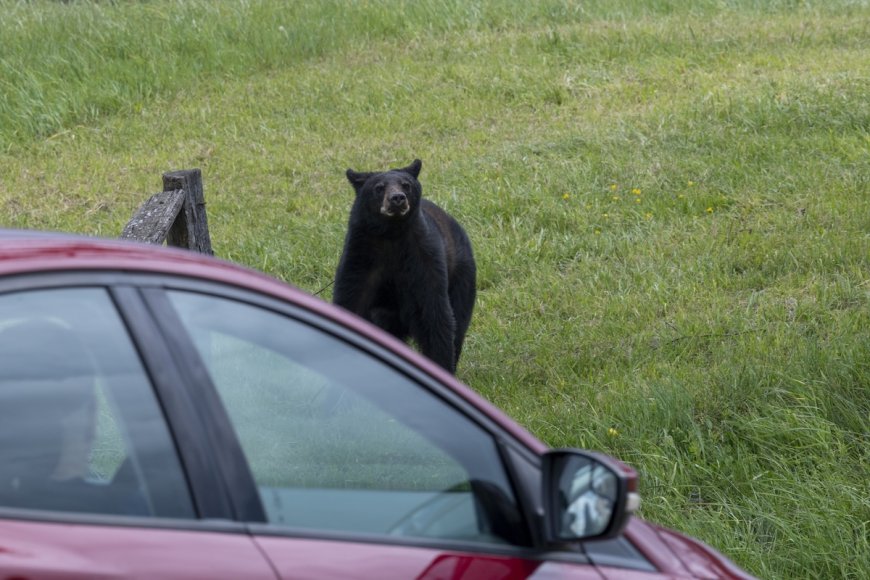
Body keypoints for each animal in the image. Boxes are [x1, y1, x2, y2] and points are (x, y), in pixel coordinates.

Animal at [333, 159, 476, 374]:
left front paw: (440, 365)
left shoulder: (424, 258)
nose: (397, 198)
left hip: (462, 276)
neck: (391, 234)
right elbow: (350, 300)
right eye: (379, 187)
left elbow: (434, 315)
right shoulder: (359, 258)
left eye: (406, 185)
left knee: (458, 321)